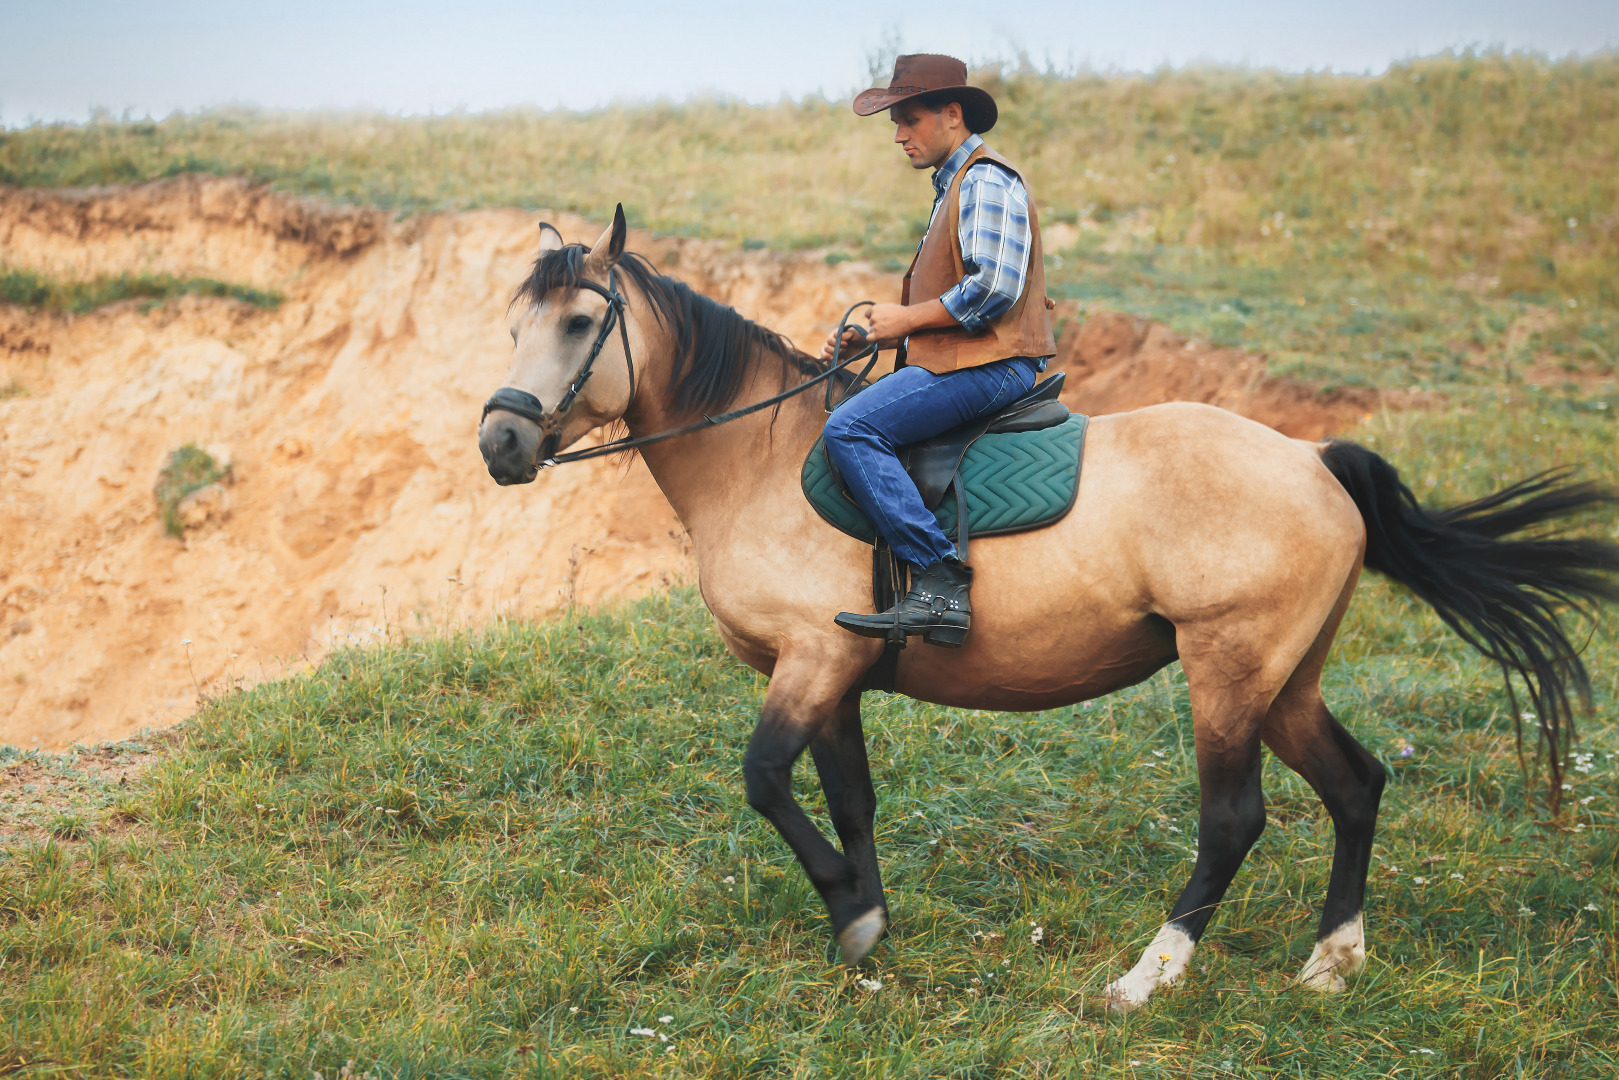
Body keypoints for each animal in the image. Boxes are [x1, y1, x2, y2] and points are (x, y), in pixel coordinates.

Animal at [472, 210, 1619, 1016]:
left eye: (581, 323)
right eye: (516, 326)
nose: (501, 443)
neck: (759, 458)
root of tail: (1309, 455)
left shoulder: (808, 663)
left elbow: (763, 782)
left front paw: (846, 911)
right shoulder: (838, 676)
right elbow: (850, 803)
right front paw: (866, 924)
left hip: (1226, 668)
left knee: (1232, 821)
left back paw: (1149, 977)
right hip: (1284, 677)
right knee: (1356, 785)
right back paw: (1332, 961)